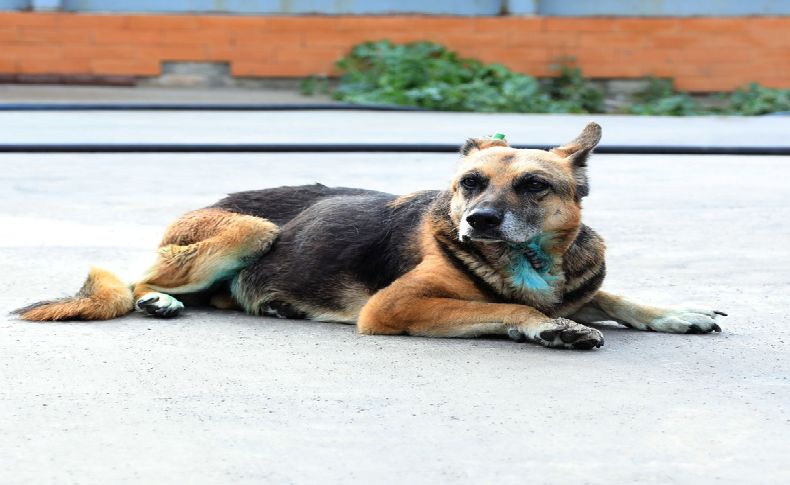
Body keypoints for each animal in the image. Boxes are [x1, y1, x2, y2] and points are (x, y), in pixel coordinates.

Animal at [13, 121, 732, 348]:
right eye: (470, 183)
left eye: (533, 184)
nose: (477, 222)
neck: (526, 257)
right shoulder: (396, 306)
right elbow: (508, 307)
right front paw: (549, 327)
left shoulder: (581, 283)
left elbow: (620, 299)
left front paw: (678, 312)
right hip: (251, 228)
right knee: (137, 280)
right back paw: (159, 299)